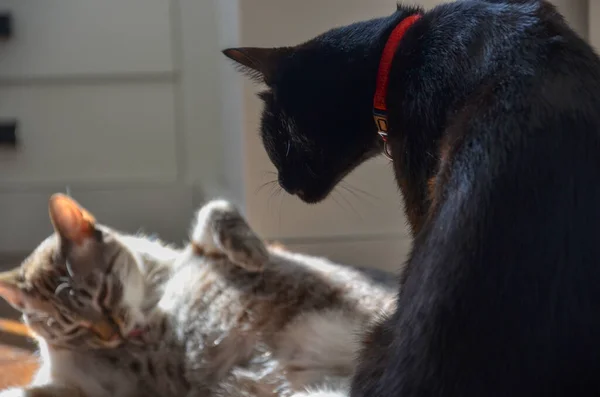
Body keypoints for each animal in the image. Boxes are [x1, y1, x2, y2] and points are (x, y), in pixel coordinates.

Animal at [0, 195, 394, 396]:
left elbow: (215, 210)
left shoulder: (199, 249)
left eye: (103, 294)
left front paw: (254, 253)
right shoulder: (82, 388)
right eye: (71, 327)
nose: (112, 335)